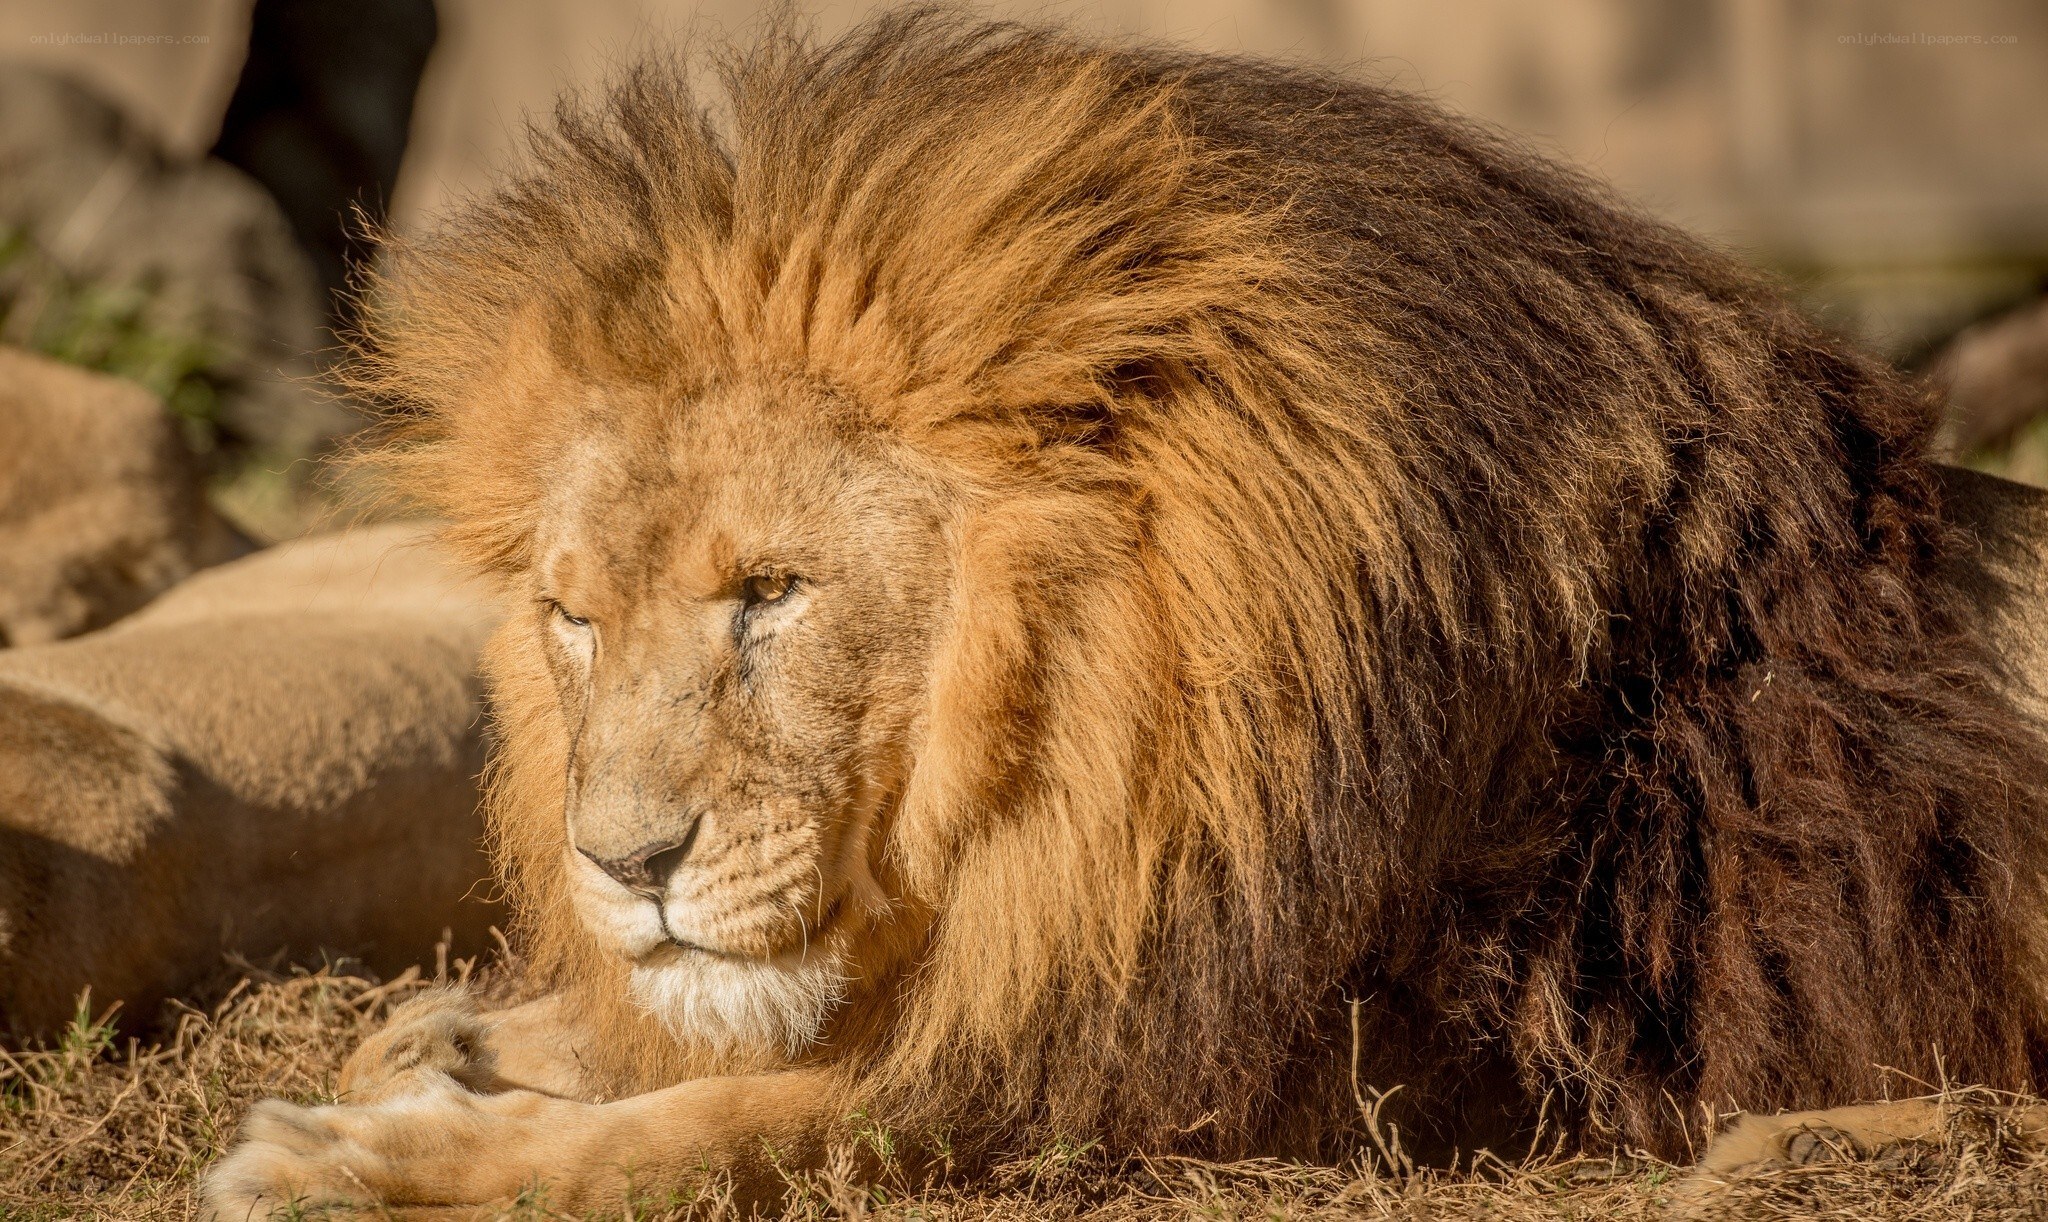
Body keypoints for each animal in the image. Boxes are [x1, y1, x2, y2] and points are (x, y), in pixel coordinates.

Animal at [205, 14, 2048, 1215]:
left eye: (770, 594)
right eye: (573, 617)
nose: (624, 864)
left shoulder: (1247, 1067)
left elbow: (723, 1126)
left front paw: (360, 1159)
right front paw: (449, 1037)